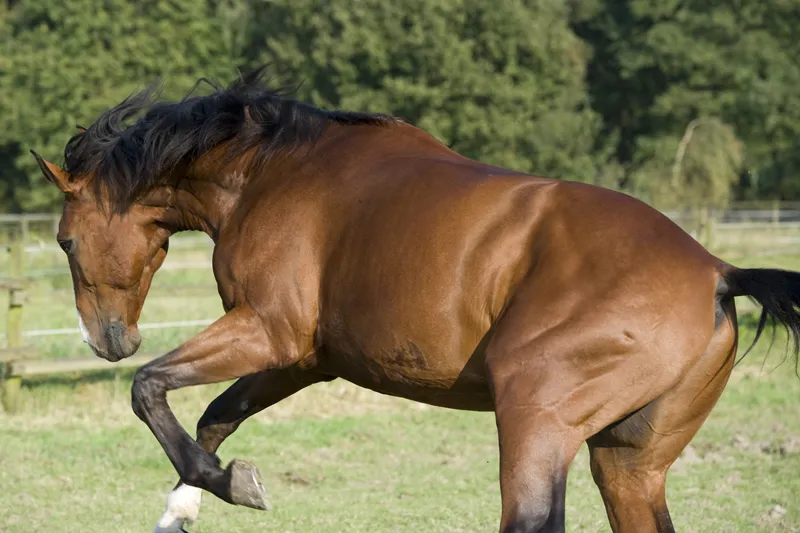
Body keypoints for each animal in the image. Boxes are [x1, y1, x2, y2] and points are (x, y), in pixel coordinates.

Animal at [31, 67, 800, 532]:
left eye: (64, 241)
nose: (107, 340)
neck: (271, 171)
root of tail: (718, 273)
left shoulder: (268, 332)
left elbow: (150, 389)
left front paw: (227, 485)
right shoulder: (305, 359)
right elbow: (214, 414)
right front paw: (187, 506)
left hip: (536, 422)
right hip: (629, 464)